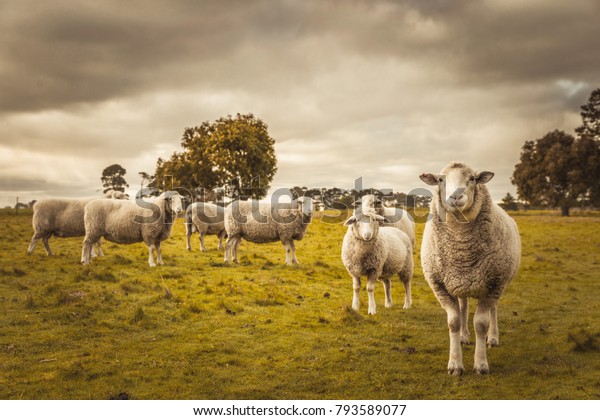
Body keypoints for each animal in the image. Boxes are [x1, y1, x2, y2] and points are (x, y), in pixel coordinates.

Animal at [418, 162, 520, 376]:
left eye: (472, 178)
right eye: (440, 179)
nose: (455, 197)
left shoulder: (494, 283)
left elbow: (481, 324)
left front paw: (481, 364)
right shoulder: (440, 286)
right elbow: (453, 322)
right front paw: (455, 364)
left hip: (495, 284)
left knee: (493, 309)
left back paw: (493, 338)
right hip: (461, 282)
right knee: (463, 305)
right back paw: (464, 336)